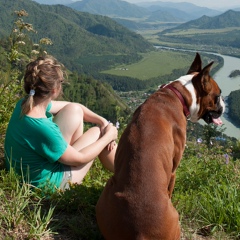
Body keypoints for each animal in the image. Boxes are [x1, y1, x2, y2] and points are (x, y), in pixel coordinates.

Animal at [95, 53, 225, 240]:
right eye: (218, 95)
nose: (224, 104)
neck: (179, 94)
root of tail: (139, 232)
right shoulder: (173, 171)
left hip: (106, 193)